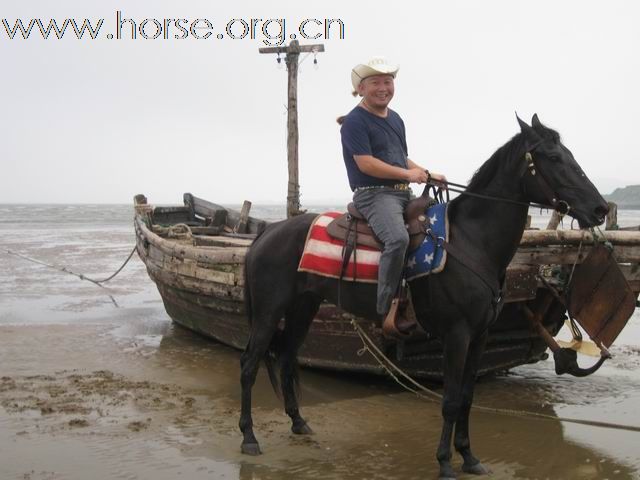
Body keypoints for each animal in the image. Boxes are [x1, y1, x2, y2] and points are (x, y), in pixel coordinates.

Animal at [239, 114, 604, 478]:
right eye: (554, 158)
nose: (600, 209)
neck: (471, 241)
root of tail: (266, 233)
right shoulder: (457, 335)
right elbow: (451, 401)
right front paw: (444, 462)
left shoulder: (481, 336)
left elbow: (467, 397)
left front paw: (469, 457)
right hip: (269, 311)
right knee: (250, 363)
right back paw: (249, 437)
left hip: (304, 306)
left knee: (287, 358)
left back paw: (298, 422)